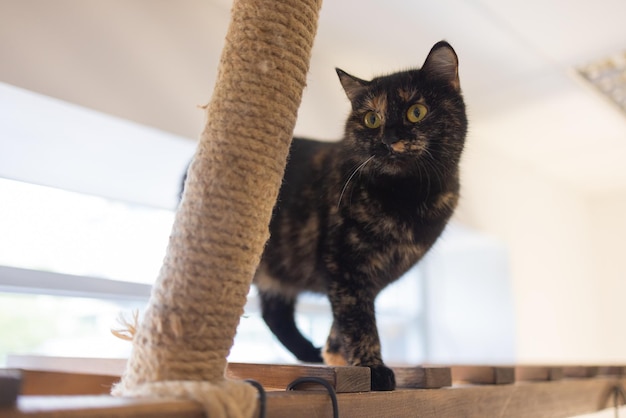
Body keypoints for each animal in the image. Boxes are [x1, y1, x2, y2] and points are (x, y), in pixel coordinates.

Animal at [252, 40, 464, 390]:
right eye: (371, 119)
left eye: (416, 111)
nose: (389, 139)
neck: (407, 200)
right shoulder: (344, 264)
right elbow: (358, 319)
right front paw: (372, 368)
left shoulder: (370, 277)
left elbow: (344, 317)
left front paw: (335, 353)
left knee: (274, 312)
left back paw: (310, 353)